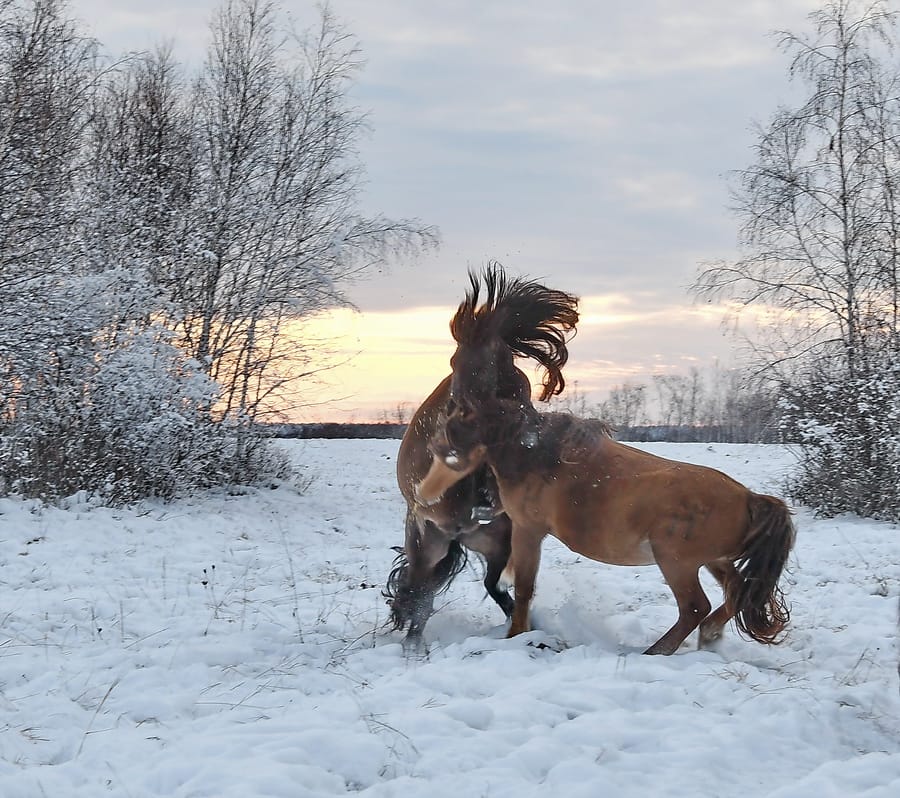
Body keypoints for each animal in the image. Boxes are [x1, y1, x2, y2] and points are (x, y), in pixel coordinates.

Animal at [384, 266, 580, 652]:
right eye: (455, 361)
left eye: (512, 369)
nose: (522, 425)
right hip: (428, 545)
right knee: (421, 591)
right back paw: (414, 645)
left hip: (497, 545)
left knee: (493, 587)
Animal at [414, 398, 796, 656]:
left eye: (453, 420)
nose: (434, 447)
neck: (536, 456)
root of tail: (748, 497)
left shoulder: (528, 530)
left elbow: (523, 588)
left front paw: (516, 635)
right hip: (713, 561)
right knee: (736, 592)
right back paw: (709, 636)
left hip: (677, 563)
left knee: (695, 607)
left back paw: (656, 651)